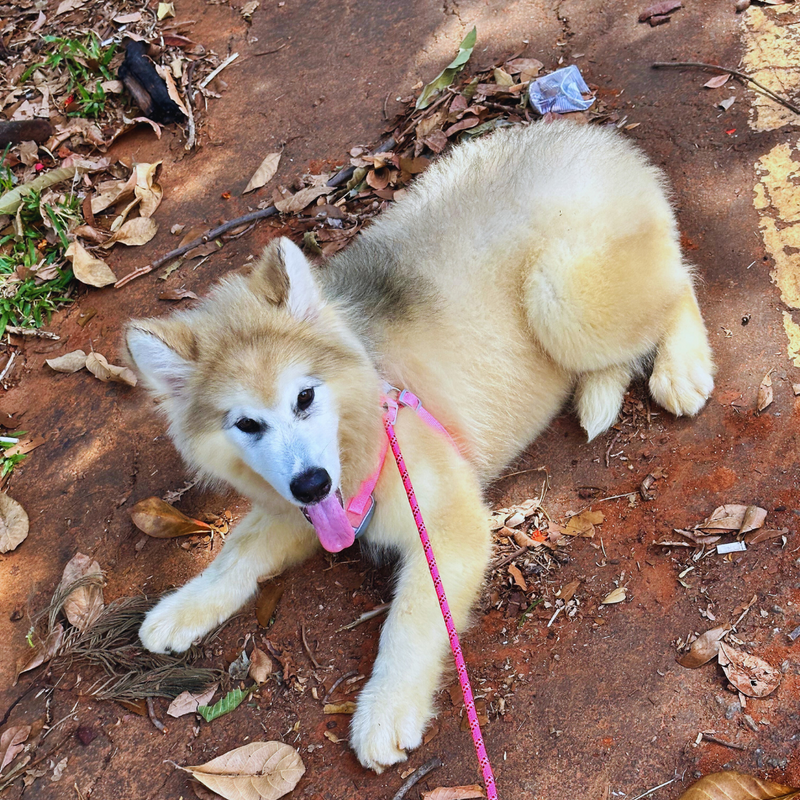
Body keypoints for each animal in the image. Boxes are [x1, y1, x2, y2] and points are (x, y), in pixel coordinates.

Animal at [126, 122, 720, 772]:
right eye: (246, 425)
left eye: (305, 396)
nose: (311, 483)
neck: (364, 426)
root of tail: (594, 136)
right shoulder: (303, 512)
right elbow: (236, 554)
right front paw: (179, 610)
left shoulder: (448, 525)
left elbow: (410, 621)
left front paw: (386, 709)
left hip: (562, 295)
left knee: (682, 279)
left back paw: (681, 368)